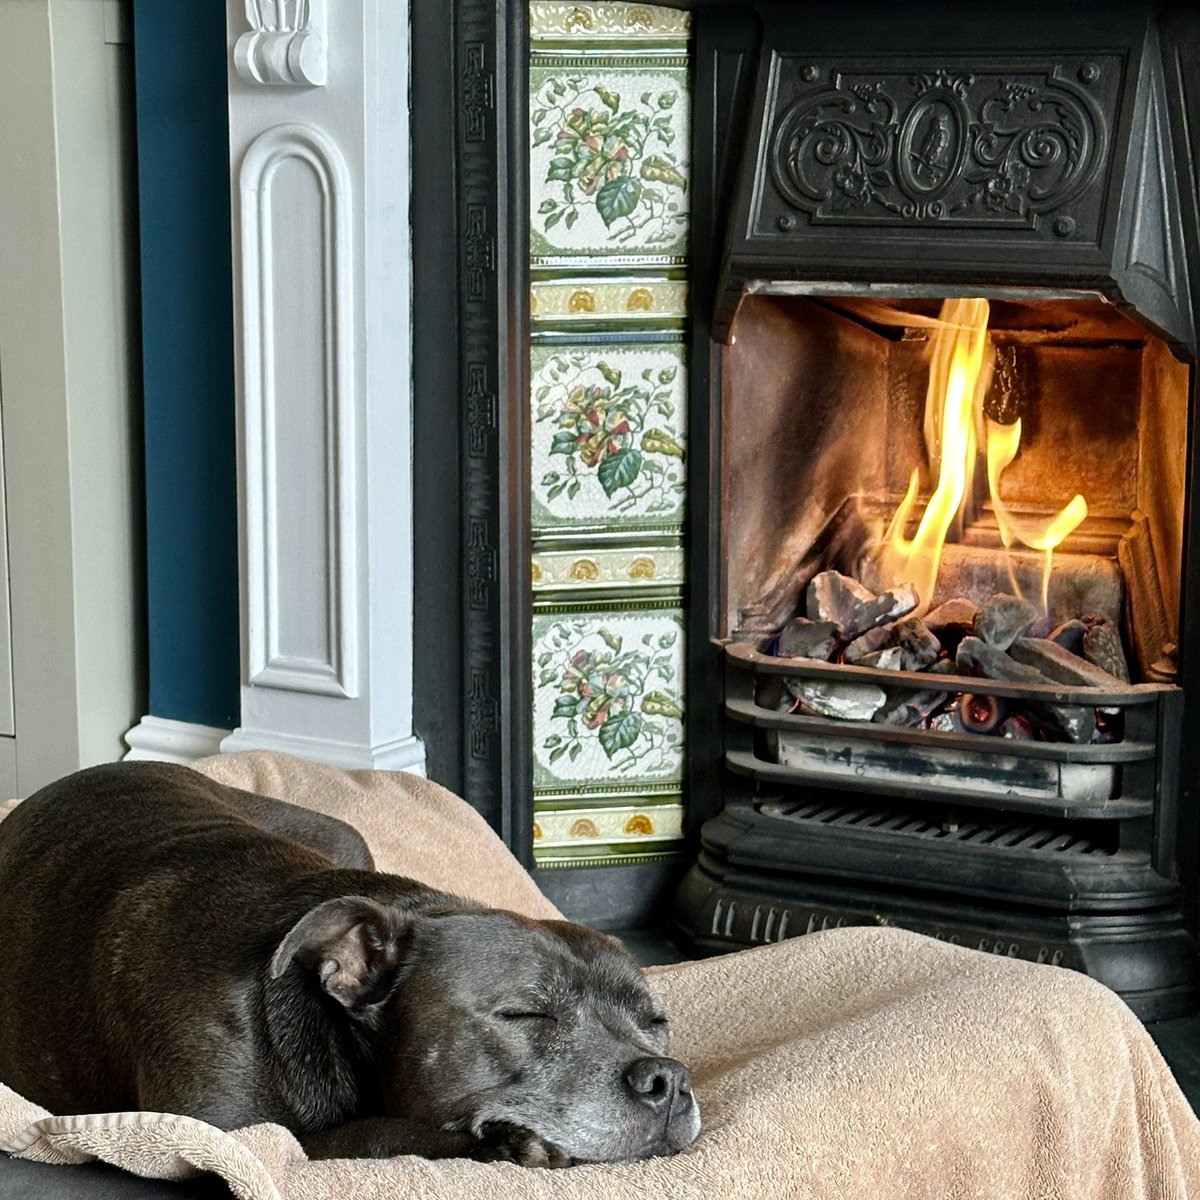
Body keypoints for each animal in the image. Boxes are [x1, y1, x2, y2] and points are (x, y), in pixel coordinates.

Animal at [0, 763, 700, 1166]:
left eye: (657, 1023)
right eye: (526, 1014)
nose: (667, 1079)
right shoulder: (217, 1131)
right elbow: (364, 1134)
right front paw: (499, 1143)